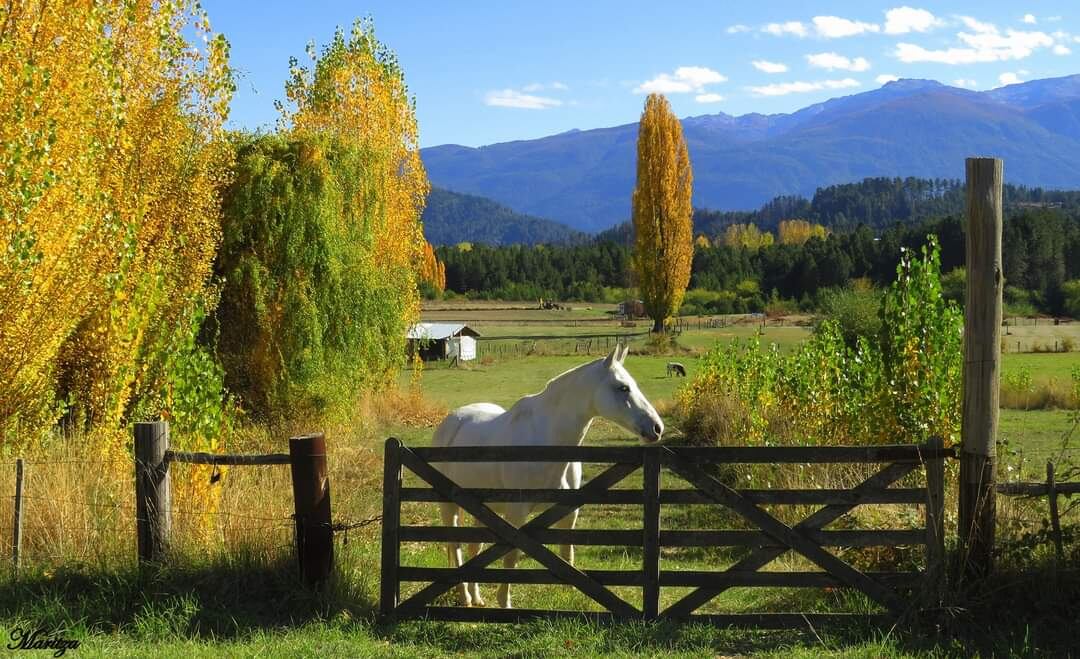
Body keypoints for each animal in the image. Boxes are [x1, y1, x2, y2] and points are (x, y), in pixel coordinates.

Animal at [429, 343, 656, 604]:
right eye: (623, 387)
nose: (656, 428)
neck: (547, 442)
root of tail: (452, 420)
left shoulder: (568, 511)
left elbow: (567, 552)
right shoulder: (516, 514)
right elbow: (511, 557)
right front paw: (504, 602)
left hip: (482, 508)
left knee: (473, 548)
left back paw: (476, 598)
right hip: (449, 506)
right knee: (455, 546)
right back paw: (465, 597)